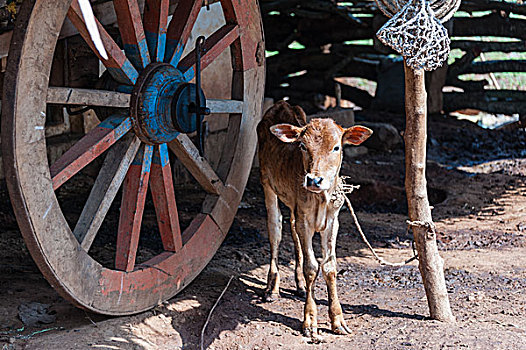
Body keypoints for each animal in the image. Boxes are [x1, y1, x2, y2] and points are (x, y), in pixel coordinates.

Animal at [258, 100, 374, 336]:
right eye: (303, 146)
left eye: (336, 147)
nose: (314, 180)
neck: (321, 199)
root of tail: (281, 103)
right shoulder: (305, 221)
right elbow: (311, 267)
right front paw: (310, 322)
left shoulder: (332, 222)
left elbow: (329, 267)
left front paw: (338, 320)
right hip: (267, 184)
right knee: (275, 231)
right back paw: (272, 288)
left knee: (292, 229)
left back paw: (300, 286)